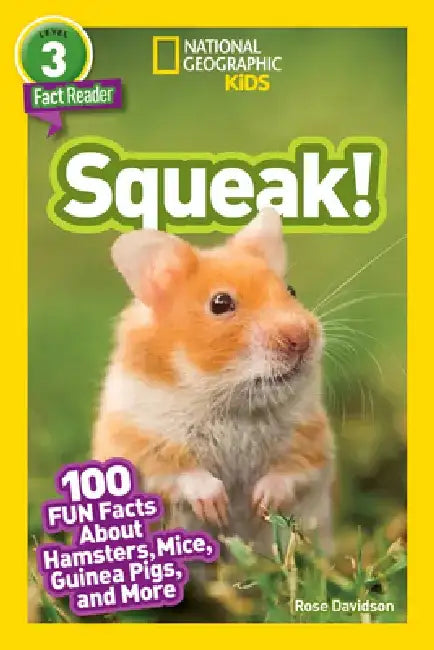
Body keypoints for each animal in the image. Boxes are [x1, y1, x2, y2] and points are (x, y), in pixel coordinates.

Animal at [93, 208, 334, 555]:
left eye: (291, 290)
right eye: (220, 303)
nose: (301, 339)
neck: (229, 402)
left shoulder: (311, 439)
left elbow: (291, 470)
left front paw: (259, 504)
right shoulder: (139, 440)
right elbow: (181, 472)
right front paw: (218, 509)